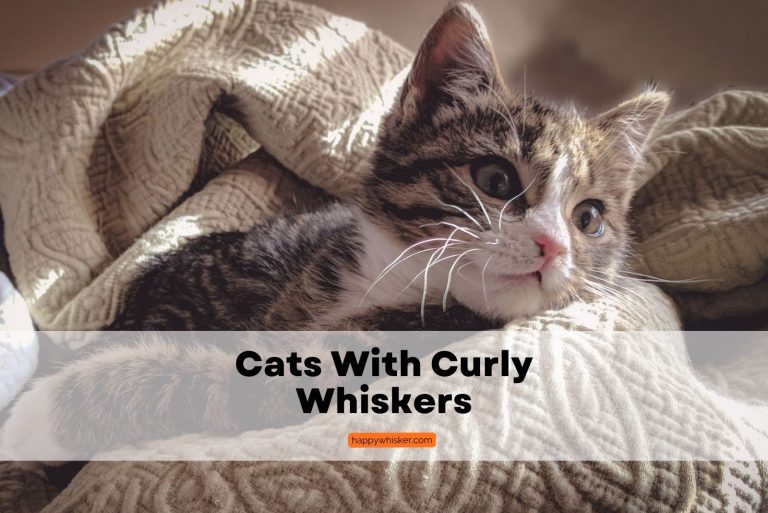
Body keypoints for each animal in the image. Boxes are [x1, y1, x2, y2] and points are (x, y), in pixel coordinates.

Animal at [3, 3, 664, 460]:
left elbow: (223, 383)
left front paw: (37, 417)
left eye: (589, 218)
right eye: (495, 178)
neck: (394, 281)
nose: (554, 245)